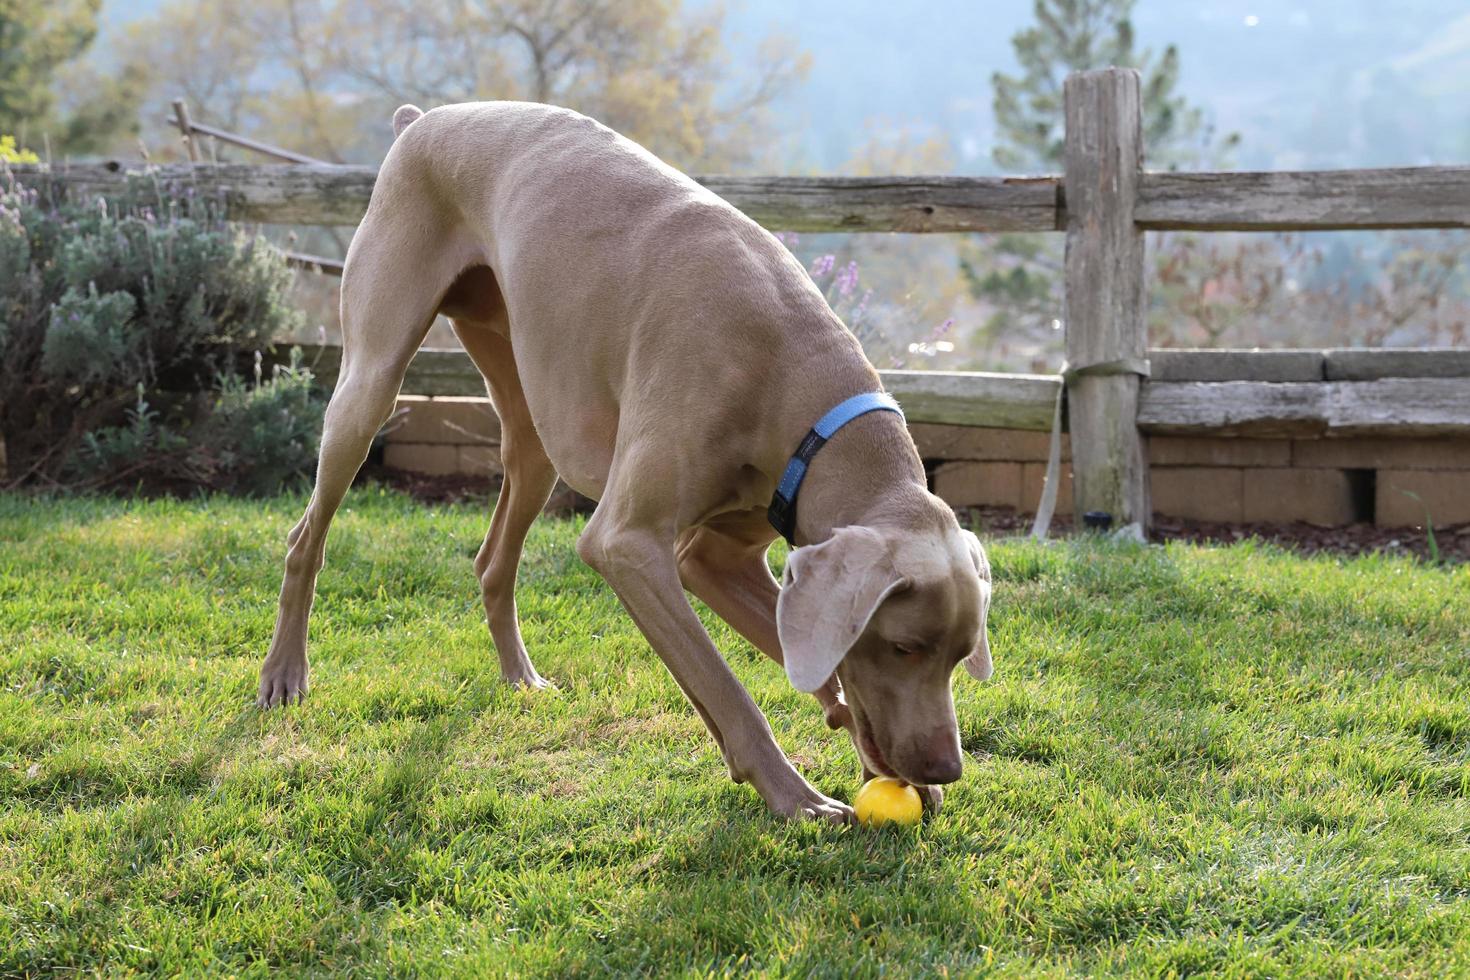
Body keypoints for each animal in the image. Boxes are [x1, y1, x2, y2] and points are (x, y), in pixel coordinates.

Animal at [258, 101, 993, 822]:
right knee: (305, 534)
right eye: (903, 646)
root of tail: (419, 121)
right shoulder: (629, 545)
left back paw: (520, 676)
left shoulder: (719, 558)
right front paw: (796, 796)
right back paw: (284, 676)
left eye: (960, 655)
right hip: (370, 384)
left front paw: (862, 751)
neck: (797, 383)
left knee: (494, 556)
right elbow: (724, 685)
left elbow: (807, 656)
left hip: (535, 425)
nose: (946, 769)